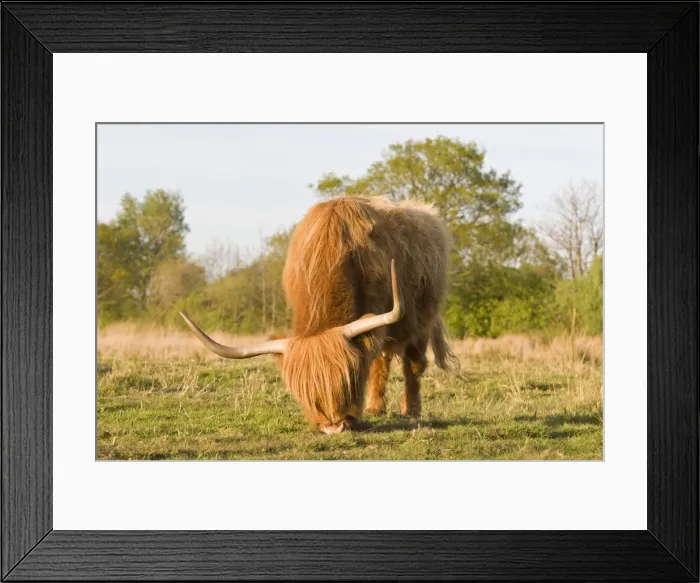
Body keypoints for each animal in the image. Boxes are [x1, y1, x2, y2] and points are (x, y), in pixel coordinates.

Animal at [180, 195, 458, 434]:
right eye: (304, 391)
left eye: (349, 379)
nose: (333, 427)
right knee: (383, 360)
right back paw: (374, 408)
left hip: (423, 317)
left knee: (413, 363)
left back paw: (411, 410)